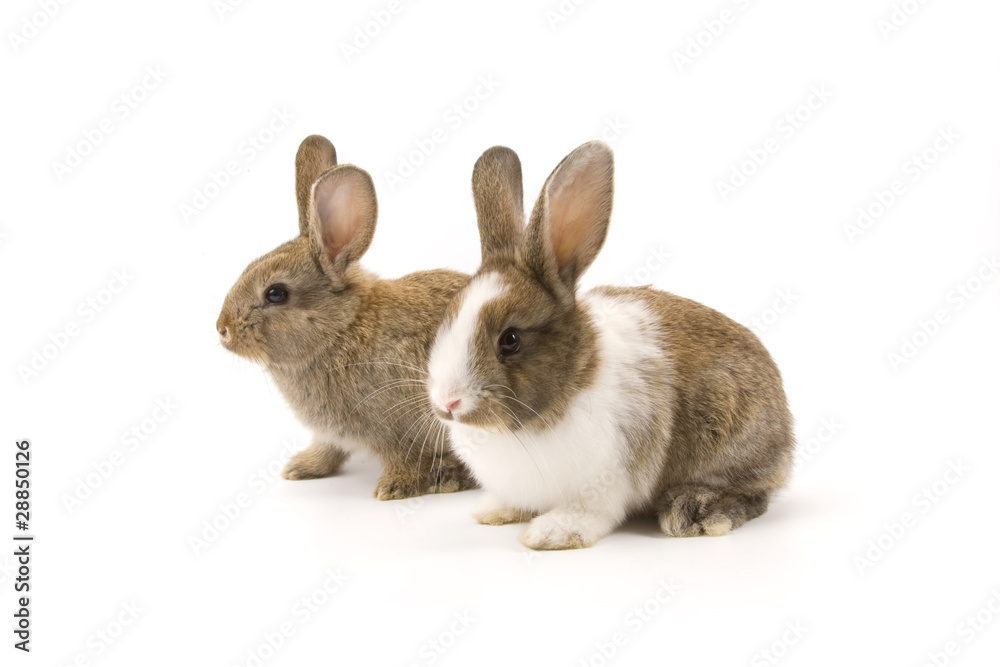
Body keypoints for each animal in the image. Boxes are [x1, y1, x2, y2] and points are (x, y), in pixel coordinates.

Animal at [216, 134, 476, 500]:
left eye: (276, 293)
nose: (222, 329)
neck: (341, 330)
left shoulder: (399, 427)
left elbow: (406, 458)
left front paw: (392, 487)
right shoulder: (331, 434)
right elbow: (328, 450)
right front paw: (301, 468)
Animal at [425, 141, 793, 549]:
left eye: (510, 340)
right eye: (447, 319)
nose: (447, 403)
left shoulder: (607, 478)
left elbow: (589, 513)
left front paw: (551, 533)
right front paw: (493, 511)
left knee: (755, 493)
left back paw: (696, 512)